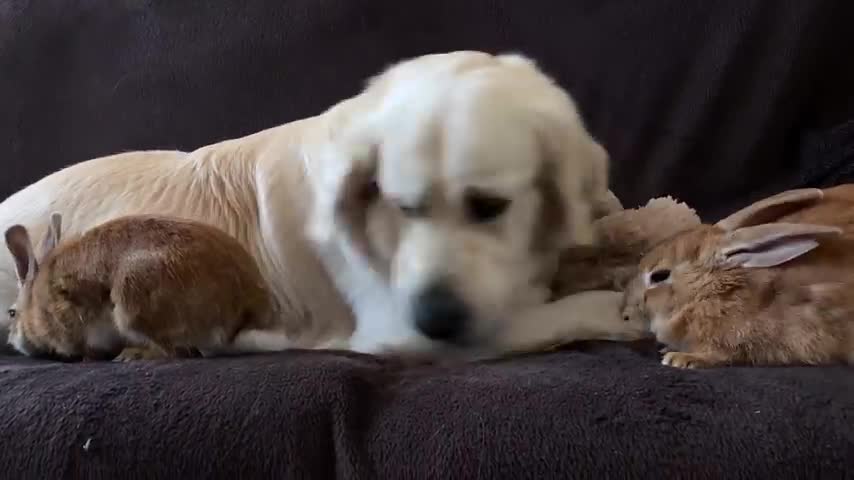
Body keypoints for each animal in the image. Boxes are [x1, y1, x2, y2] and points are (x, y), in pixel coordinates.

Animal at [3, 212, 290, 362]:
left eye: (11, 313)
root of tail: (246, 309)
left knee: (179, 352)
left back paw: (132, 354)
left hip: (132, 300)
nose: (11, 341)